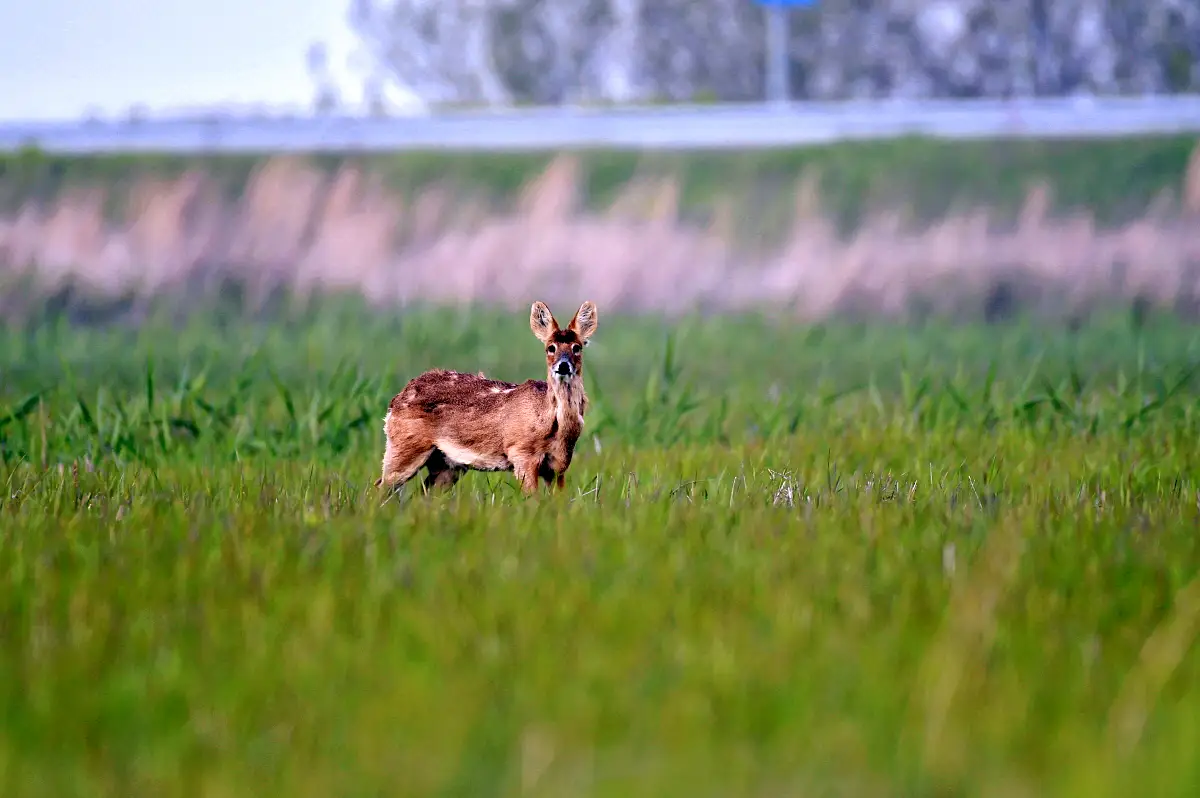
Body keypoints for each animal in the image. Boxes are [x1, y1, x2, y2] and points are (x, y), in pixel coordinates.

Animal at [372, 300, 597, 494]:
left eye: (577, 347)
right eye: (551, 347)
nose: (563, 365)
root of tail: (395, 401)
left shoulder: (559, 465)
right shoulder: (521, 453)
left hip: (446, 464)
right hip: (405, 445)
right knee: (380, 486)